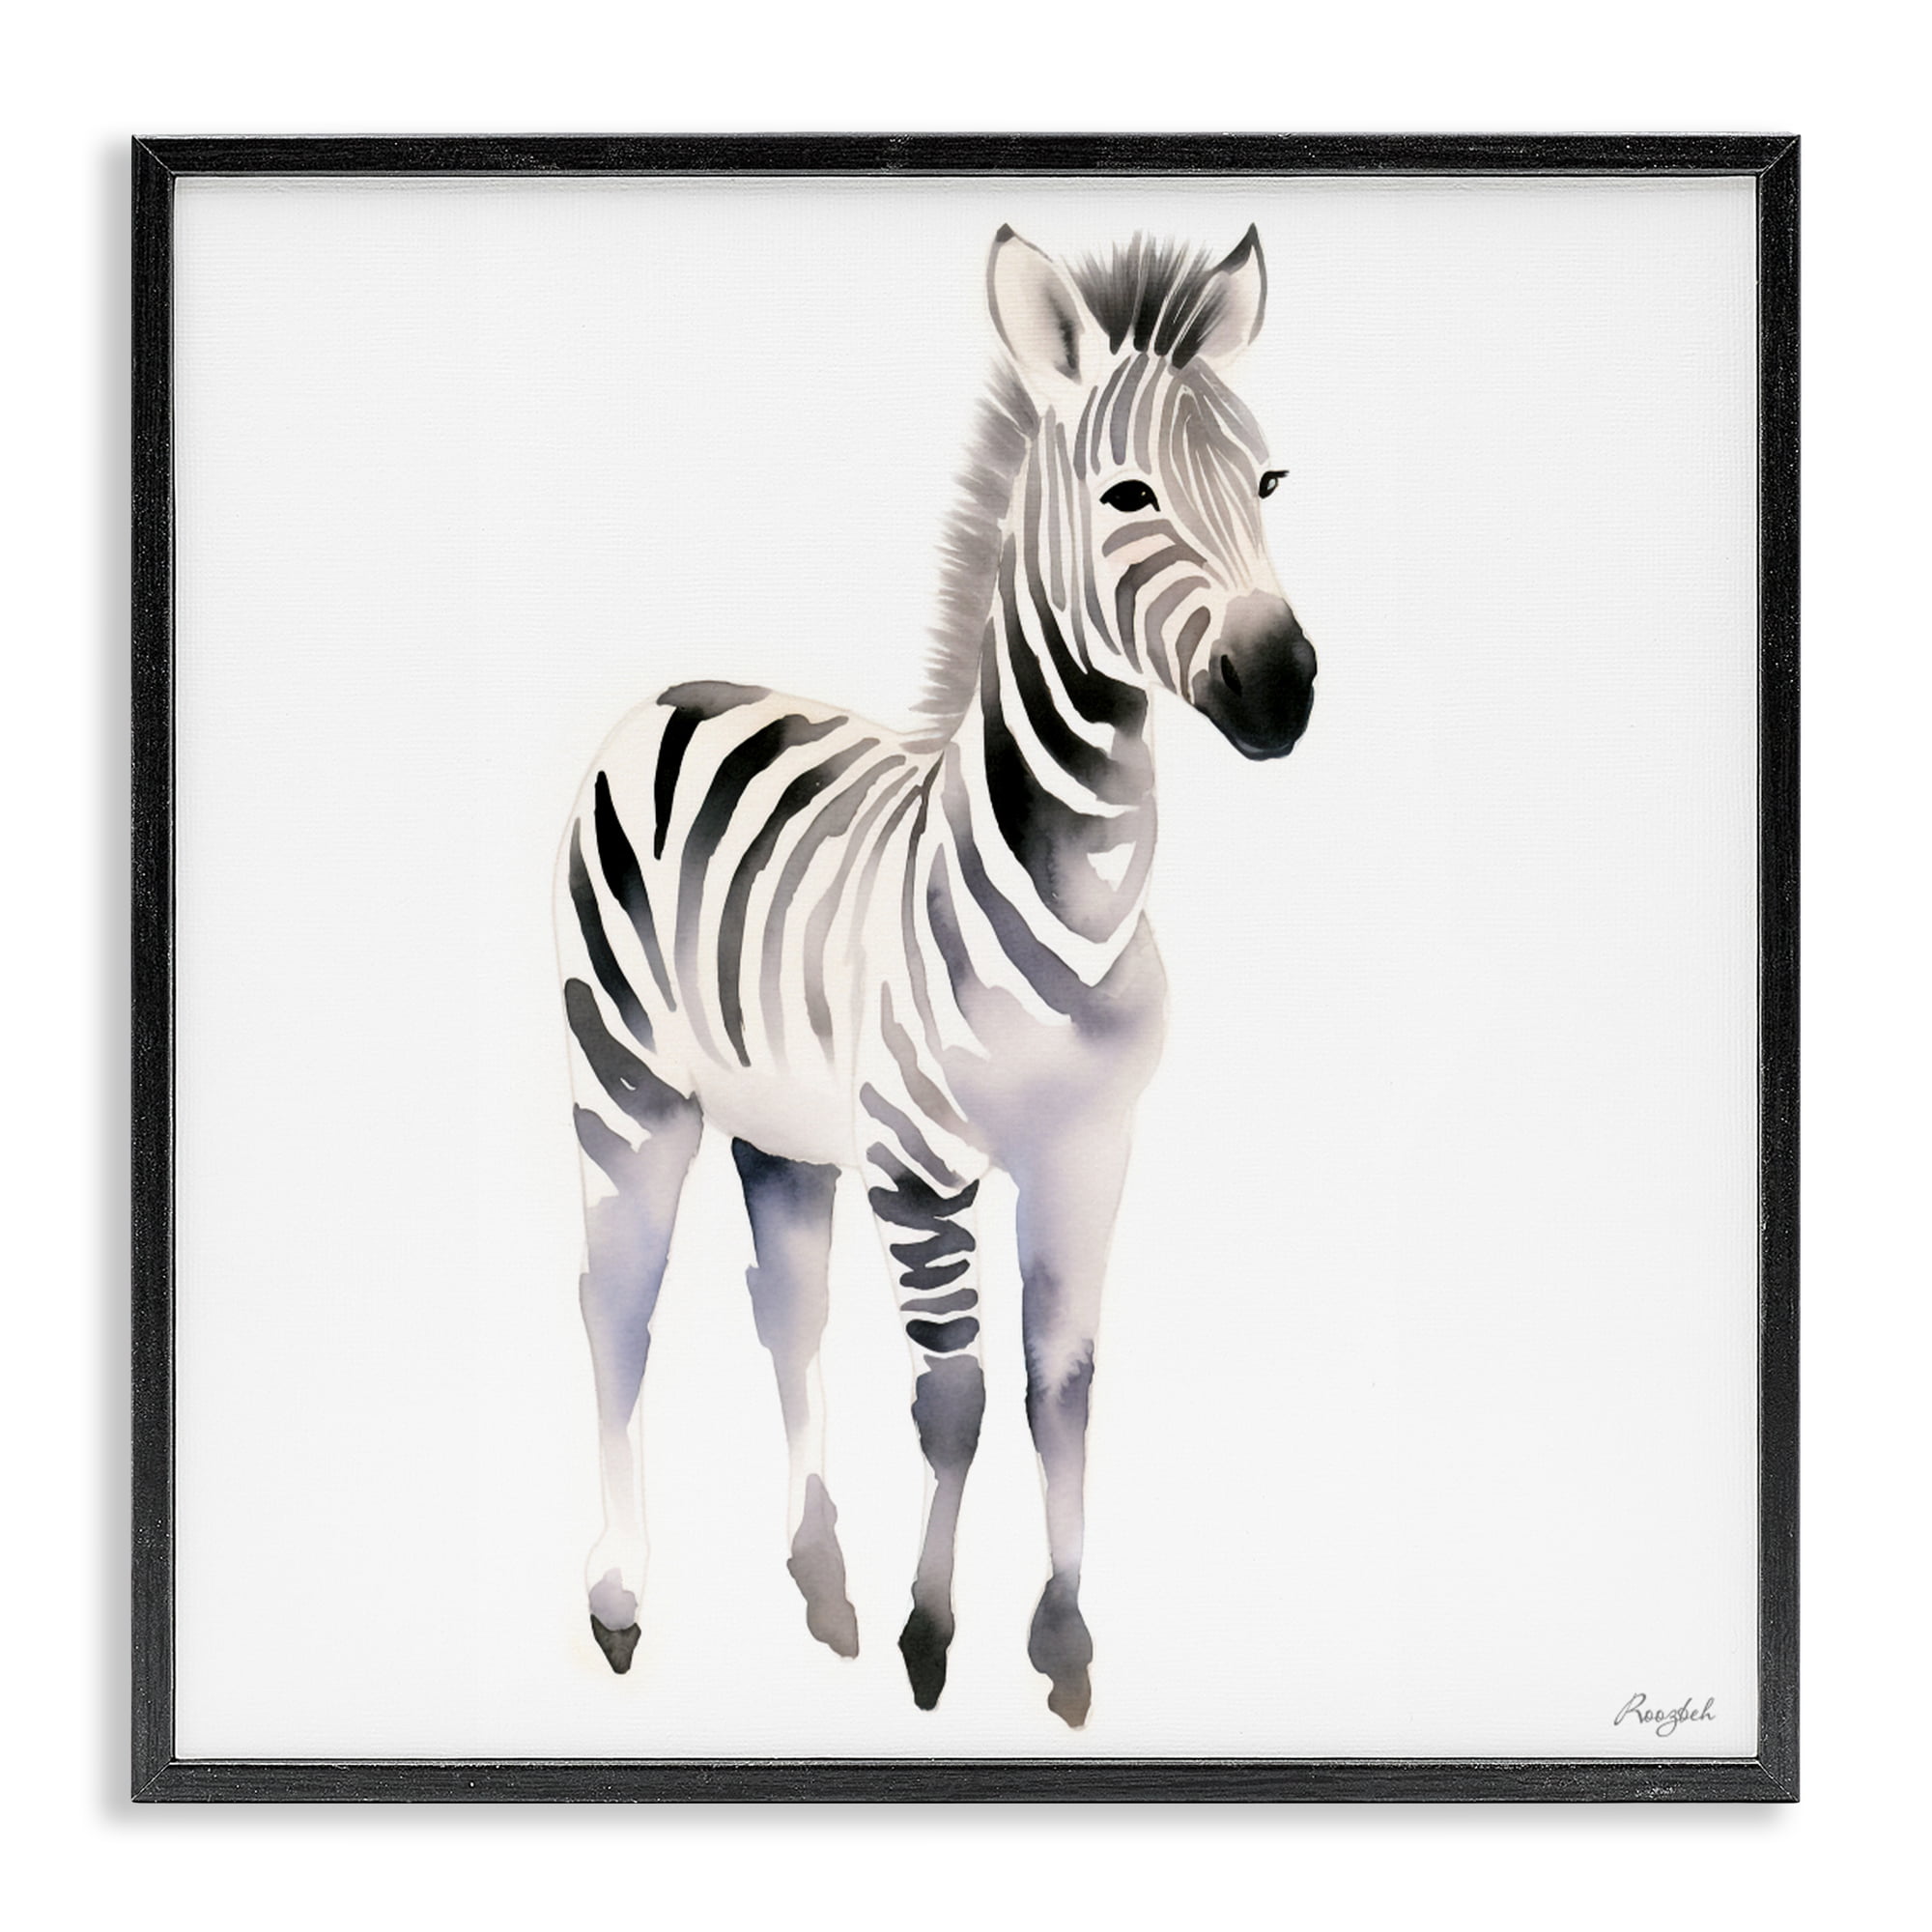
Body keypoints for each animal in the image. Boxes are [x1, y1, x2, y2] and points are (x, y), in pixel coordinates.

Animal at [555, 224, 1316, 1727]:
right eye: (1125, 492)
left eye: (1268, 480)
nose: (1282, 684)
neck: (1077, 905)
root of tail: (676, 688)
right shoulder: (920, 1165)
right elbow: (953, 1400)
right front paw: (931, 1634)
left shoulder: (1089, 1153)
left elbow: (1059, 1387)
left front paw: (1062, 1640)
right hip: (626, 1085)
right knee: (618, 1304)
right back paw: (618, 1602)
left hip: (782, 1123)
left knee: (784, 1308)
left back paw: (818, 1577)